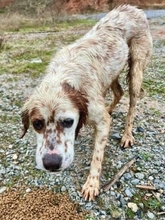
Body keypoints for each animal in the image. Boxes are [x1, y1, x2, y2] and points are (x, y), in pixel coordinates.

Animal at [20, 5, 152, 201]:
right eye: (37, 124)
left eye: (68, 122)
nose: (51, 164)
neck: (64, 77)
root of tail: (133, 8)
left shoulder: (101, 121)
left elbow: (97, 156)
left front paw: (92, 184)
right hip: (111, 73)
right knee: (118, 92)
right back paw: (110, 108)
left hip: (136, 70)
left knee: (132, 105)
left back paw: (127, 135)